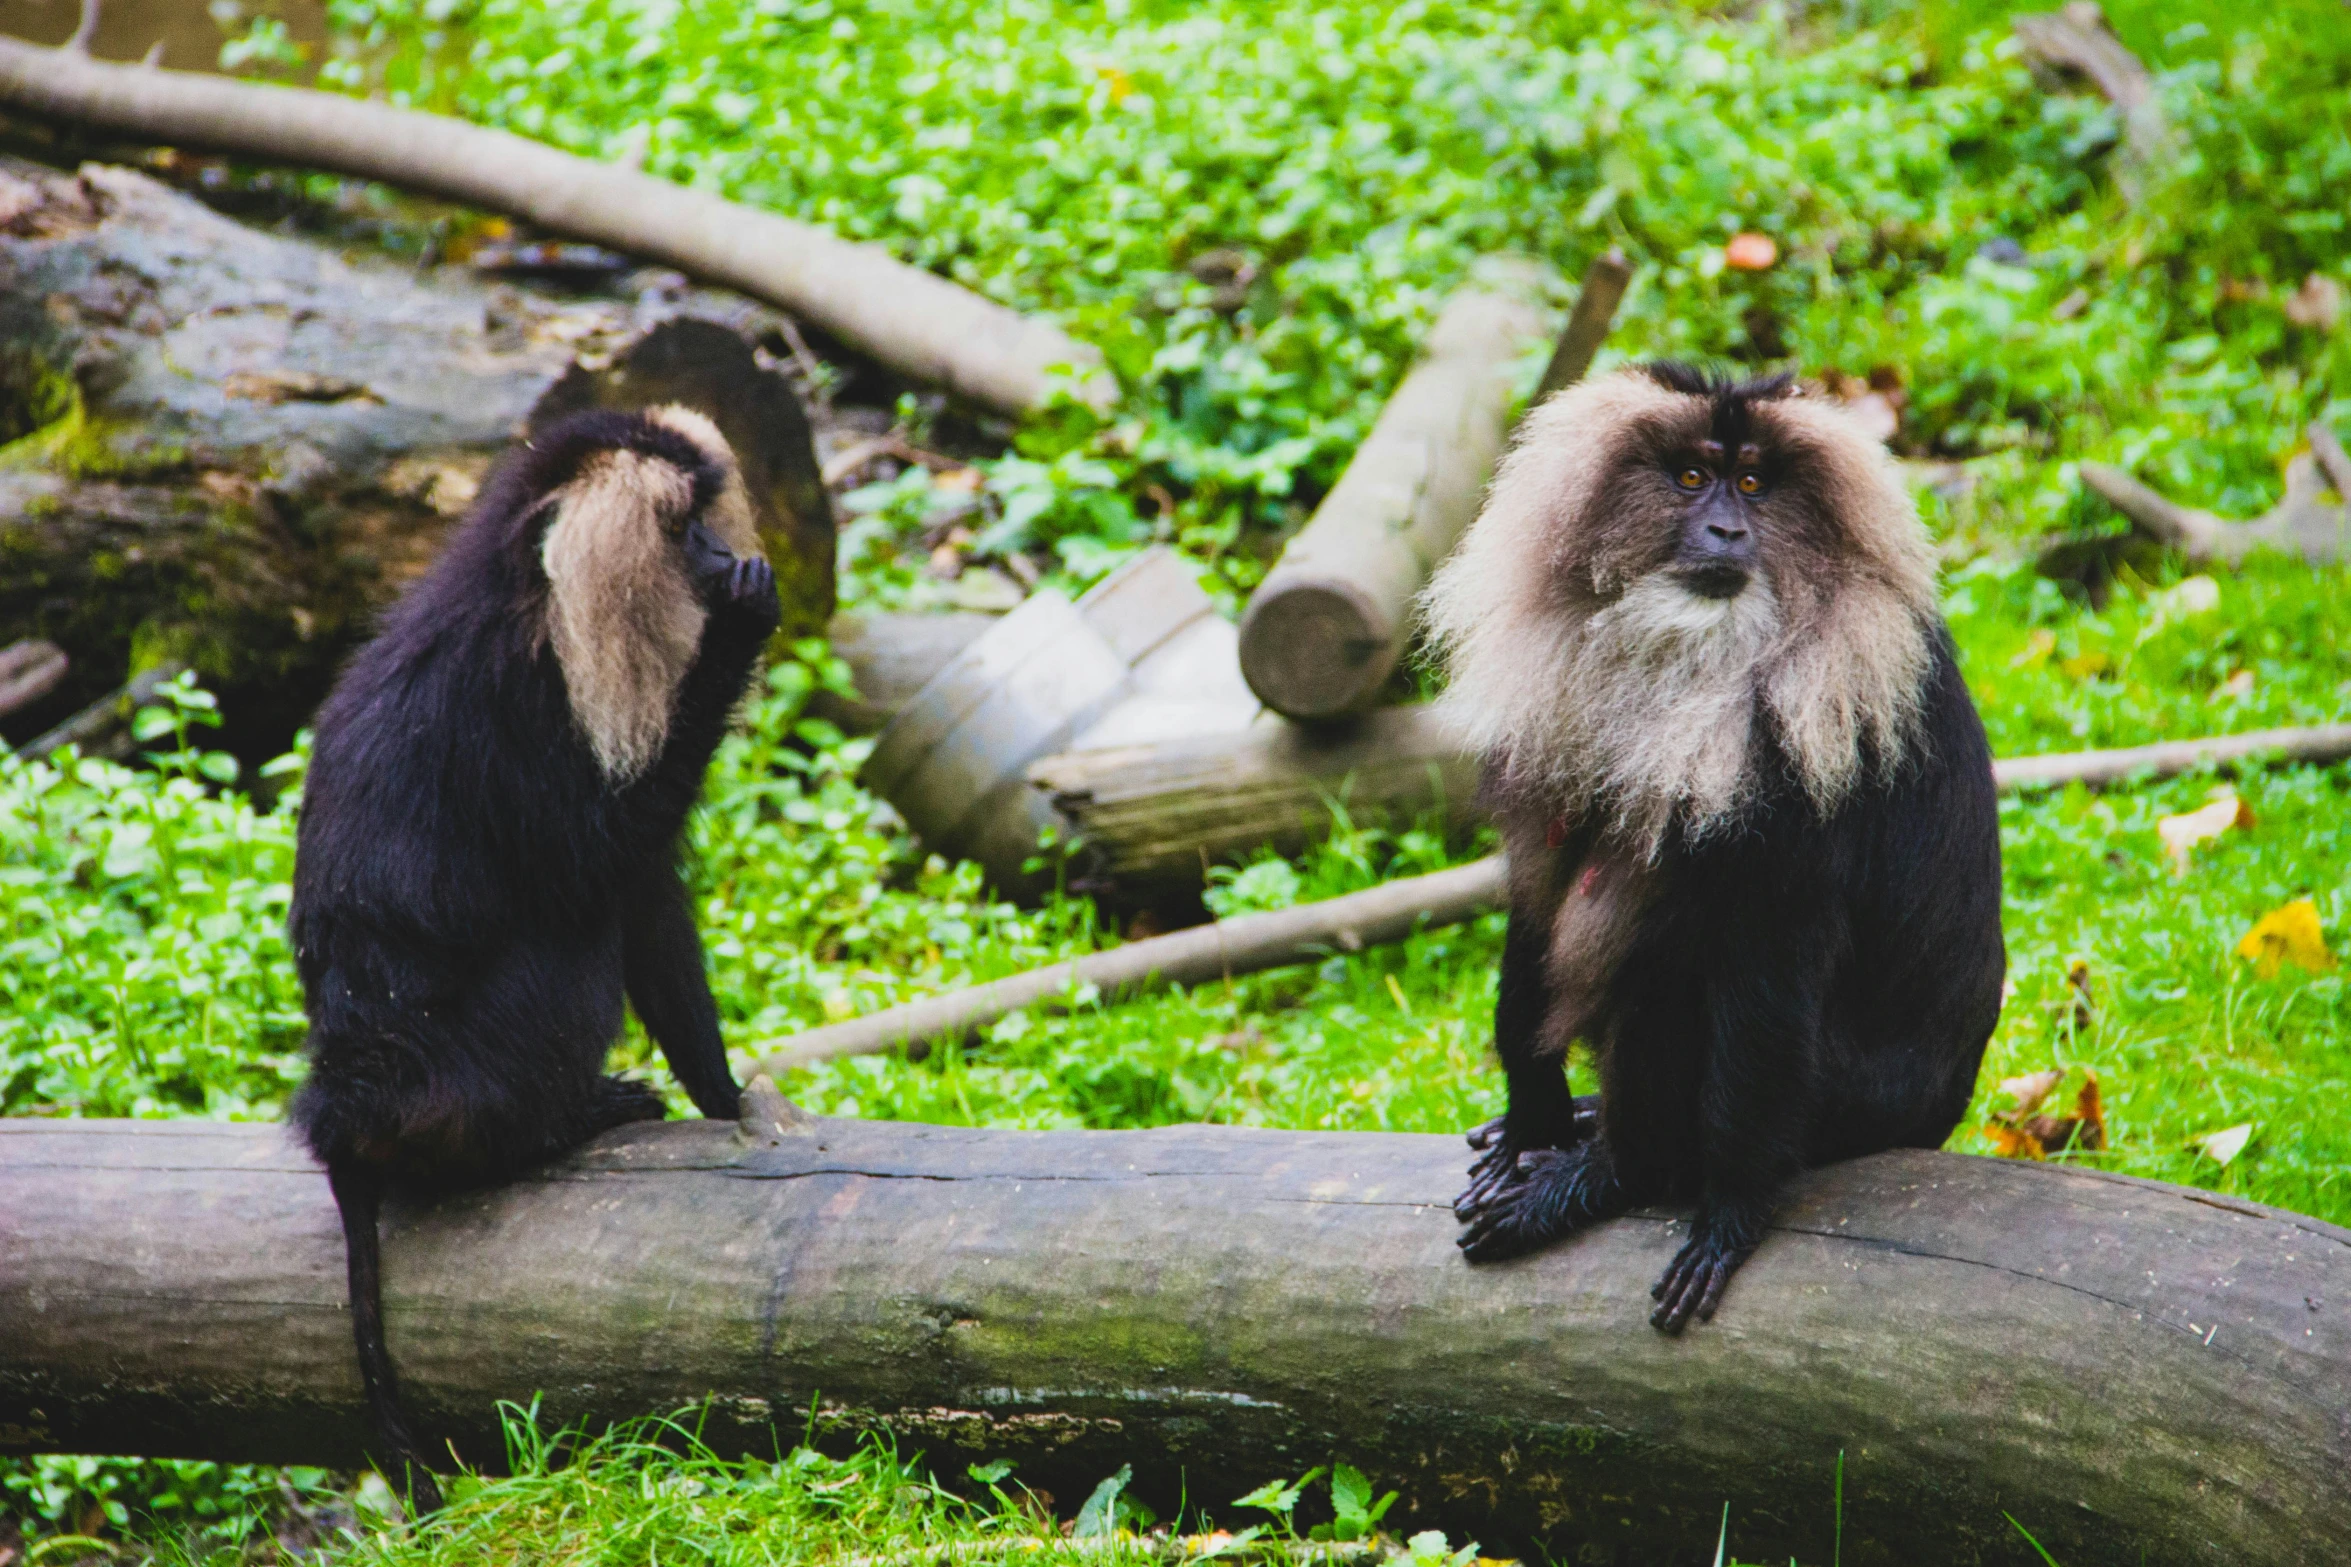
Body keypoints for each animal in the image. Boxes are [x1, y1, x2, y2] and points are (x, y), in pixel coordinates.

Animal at [284, 401, 775, 1503]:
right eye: (681, 529)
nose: (719, 554)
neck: (526, 600)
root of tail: (354, 1091)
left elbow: (646, 894)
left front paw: (727, 1100)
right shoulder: (523, 705)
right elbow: (600, 866)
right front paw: (736, 632)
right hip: (478, 1067)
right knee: (574, 925)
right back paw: (556, 1124)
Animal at [1410, 361, 2003, 1334]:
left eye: (1754, 484)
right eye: (1692, 477)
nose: (1726, 529)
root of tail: (1941, 1107)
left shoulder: (1795, 771)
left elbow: (1764, 976)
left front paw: (1724, 1212)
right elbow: (1538, 893)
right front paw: (1532, 1119)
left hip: (1852, 1102)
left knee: (1675, 973)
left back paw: (1611, 1176)